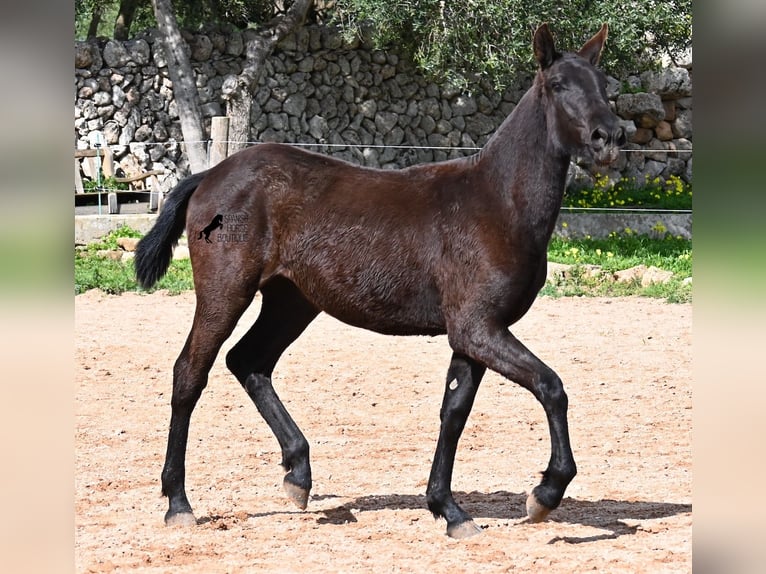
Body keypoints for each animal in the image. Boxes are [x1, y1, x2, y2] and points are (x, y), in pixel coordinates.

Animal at [136, 24, 624, 540]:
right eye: (559, 85)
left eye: (603, 84)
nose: (609, 136)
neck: (496, 204)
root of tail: (212, 175)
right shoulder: (478, 328)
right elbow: (551, 386)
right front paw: (544, 494)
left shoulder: (472, 334)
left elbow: (454, 412)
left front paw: (448, 509)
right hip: (226, 291)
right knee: (190, 374)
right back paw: (179, 503)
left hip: (292, 301)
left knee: (249, 361)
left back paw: (298, 475)